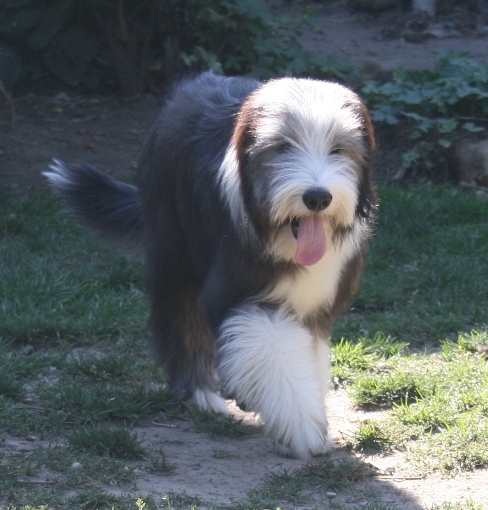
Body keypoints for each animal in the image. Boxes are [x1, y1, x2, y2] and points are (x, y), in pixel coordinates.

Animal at [43, 71, 378, 458]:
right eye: (283, 147)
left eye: (338, 149)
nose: (317, 197)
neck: (281, 236)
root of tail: (191, 85)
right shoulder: (237, 292)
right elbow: (272, 351)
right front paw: (303, 427)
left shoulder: (316, 306)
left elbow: (303, 356)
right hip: (175, 249)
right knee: (180, 317)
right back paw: (200, 393)